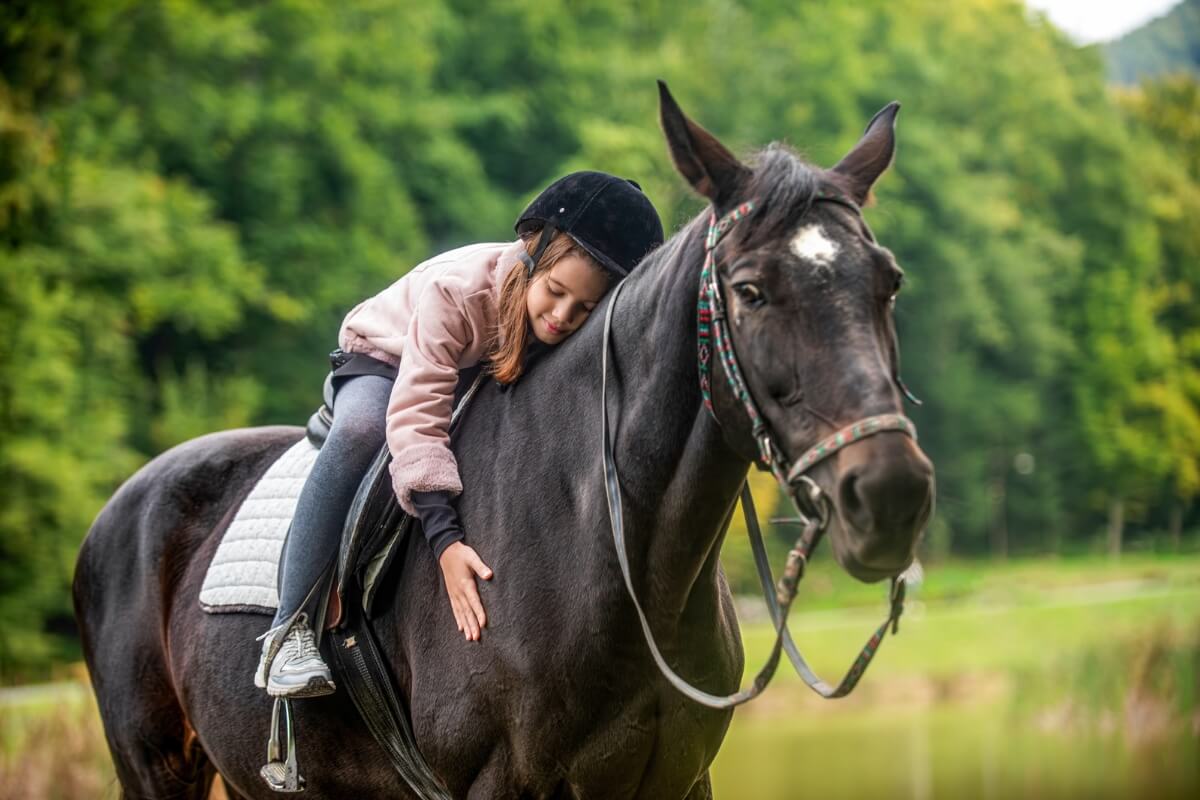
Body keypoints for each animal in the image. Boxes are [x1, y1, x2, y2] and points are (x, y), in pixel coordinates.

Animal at [75, 84, 931, 796]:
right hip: (156, 768)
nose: (890, 494)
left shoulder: (679, 779)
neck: (605, 552)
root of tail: (125, 503)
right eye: (749, 290)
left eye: (887, 281)